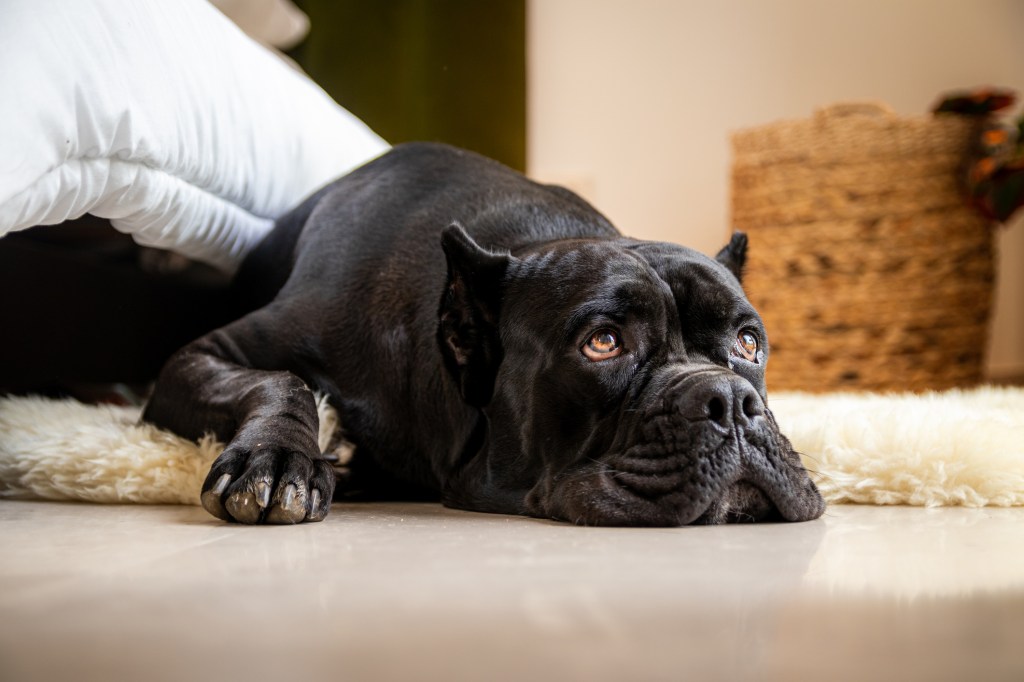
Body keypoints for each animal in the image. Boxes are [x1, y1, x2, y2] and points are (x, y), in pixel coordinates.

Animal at [142, 142, 823, 524]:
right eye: (603, 343)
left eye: (748, 343)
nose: (730, 399)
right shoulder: (203, 355)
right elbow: (279, 382)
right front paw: (279, 459)